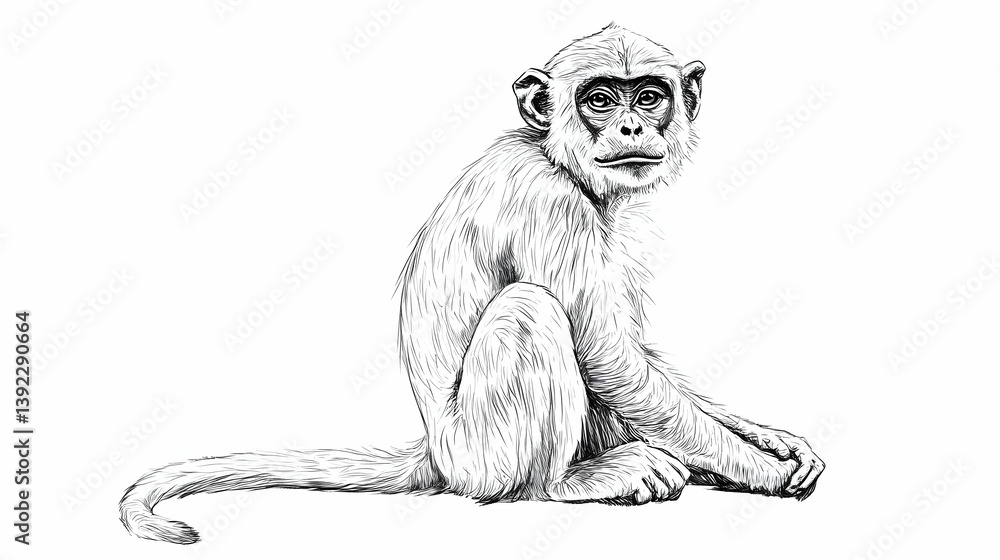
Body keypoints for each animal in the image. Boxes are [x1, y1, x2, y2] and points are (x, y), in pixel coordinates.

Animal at [120, 23, 824, 545]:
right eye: (600, 99)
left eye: (649, 95)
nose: (631, 127)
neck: (550, 153)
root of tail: (436, 451)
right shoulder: (551, 204)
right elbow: (608, 355)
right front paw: (758, 468)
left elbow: (632, 351)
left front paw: (767, 439)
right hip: (483, 457)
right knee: (529, 310)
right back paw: (563, 483)